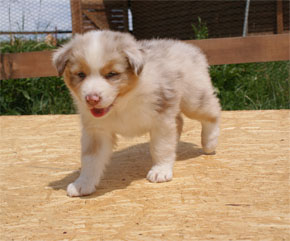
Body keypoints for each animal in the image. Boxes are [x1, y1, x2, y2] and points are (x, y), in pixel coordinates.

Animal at [52, 30, 220, 197]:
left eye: (112, 74)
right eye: (81, 74)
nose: (92, 99)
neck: (123, 102)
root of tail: (188, 47)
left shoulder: (161, 116)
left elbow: (161, 147)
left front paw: (160, 171)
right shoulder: (96, 130)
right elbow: (90, 158)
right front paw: (82, 184)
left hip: (193, 98)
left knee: (213, 110)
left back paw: (209, 143)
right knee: (179, 121)